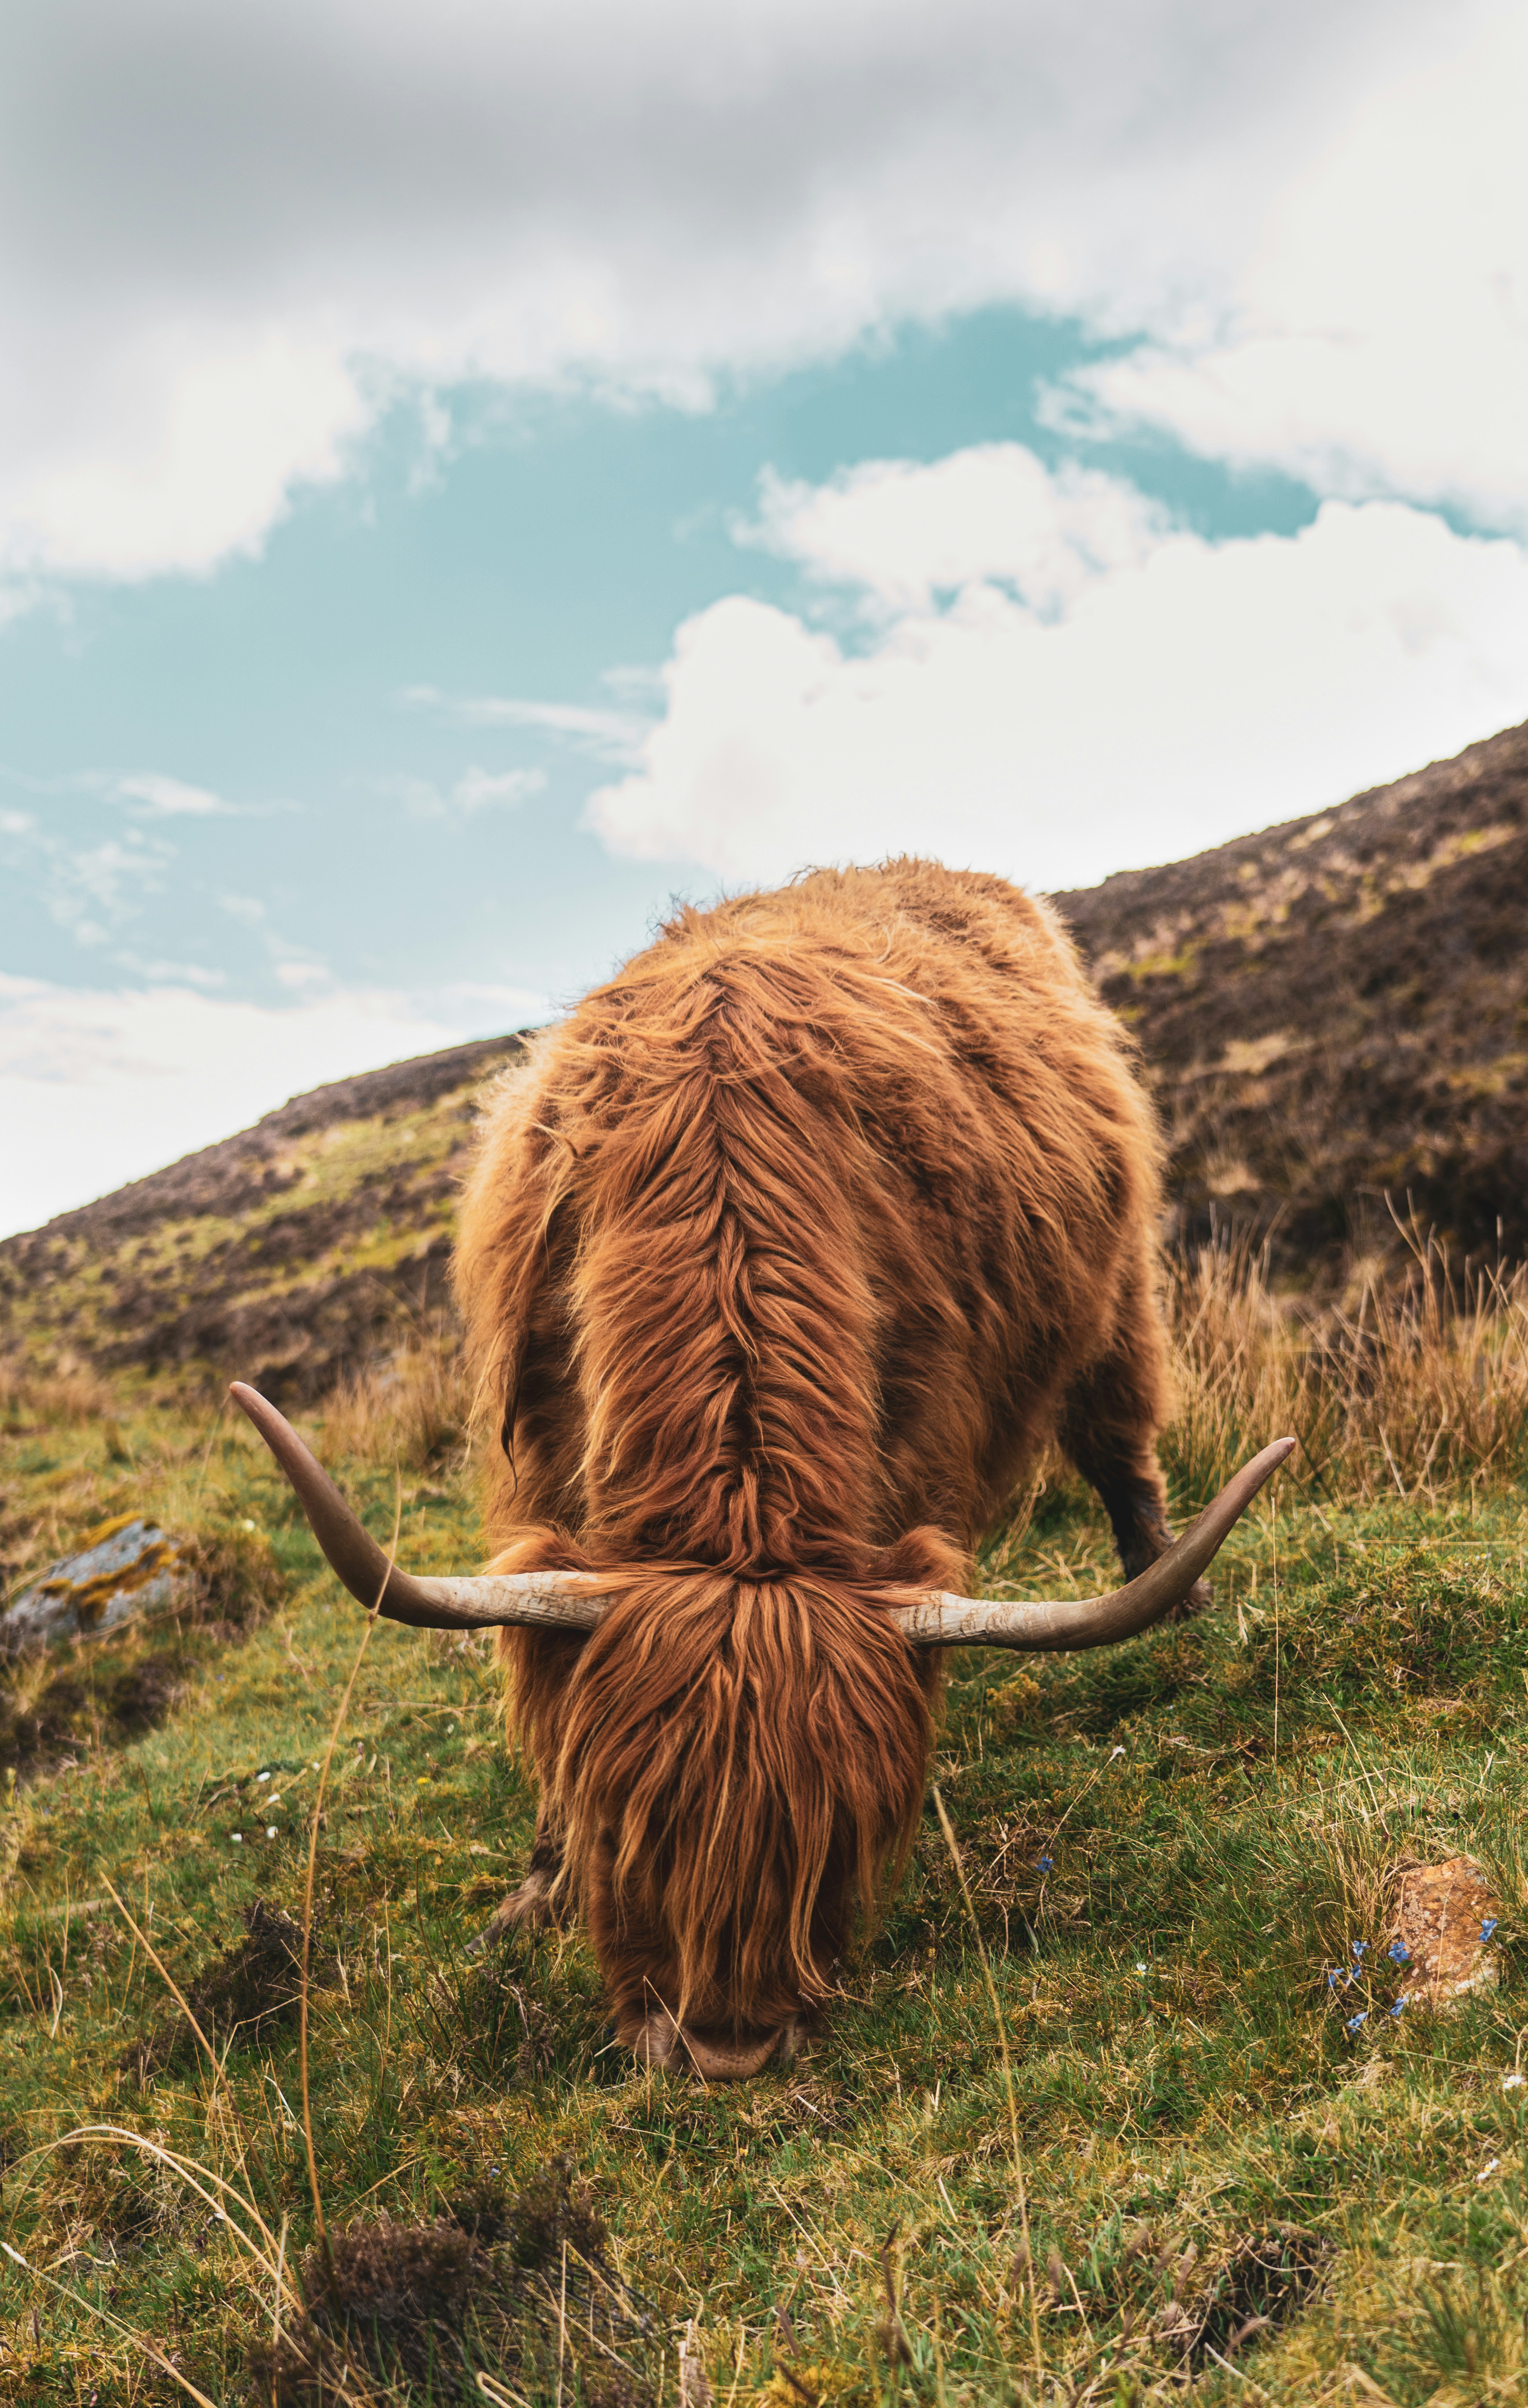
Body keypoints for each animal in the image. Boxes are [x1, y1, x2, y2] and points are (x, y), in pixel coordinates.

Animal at [234, 861, 1291, 2078]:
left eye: (841, 1831)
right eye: (629, 1823)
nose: (726, 2048)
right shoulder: (545, 1469)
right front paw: (535, 1891)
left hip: (1114, 1287)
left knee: (1121, 1435)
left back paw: (1175, 1583)